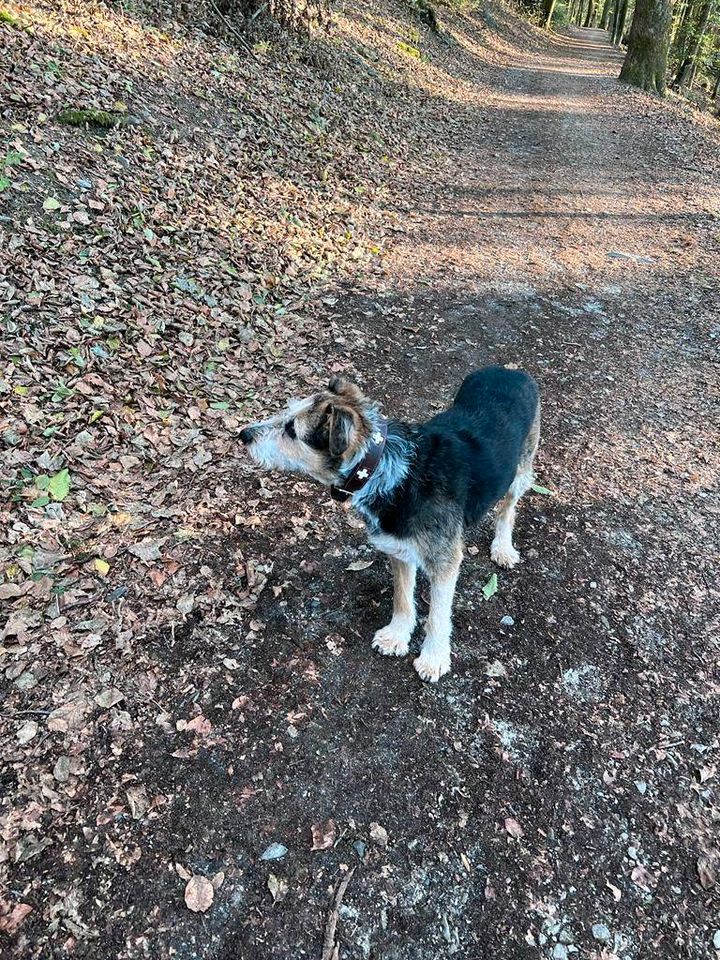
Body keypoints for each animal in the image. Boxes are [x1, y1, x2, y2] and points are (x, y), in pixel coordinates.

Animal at [242, 368, 540, 684]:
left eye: (291, 430)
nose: (243, 434)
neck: (386, 469)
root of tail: (510, 370)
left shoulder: (444, 560)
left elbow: (438, 614)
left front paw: (433, 657)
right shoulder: (399, 547)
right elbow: (402, 596)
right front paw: (397, 635)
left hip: (521, 470)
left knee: (508, 509)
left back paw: (503, 547)